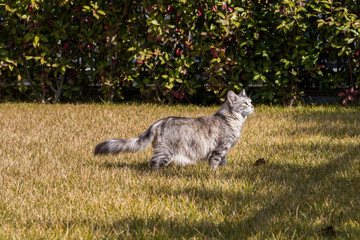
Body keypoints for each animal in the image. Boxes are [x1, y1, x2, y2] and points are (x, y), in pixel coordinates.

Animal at [94, 89, 255, 170]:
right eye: (245, 103)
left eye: (251, 102)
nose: (253, 106)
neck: (232, 120)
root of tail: (158, 122)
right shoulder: (220, 147)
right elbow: (214, 162)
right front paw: (214, 174)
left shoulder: (224, 150)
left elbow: (223, 161)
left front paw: (222, 171)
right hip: (166, 150)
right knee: (154, 162)